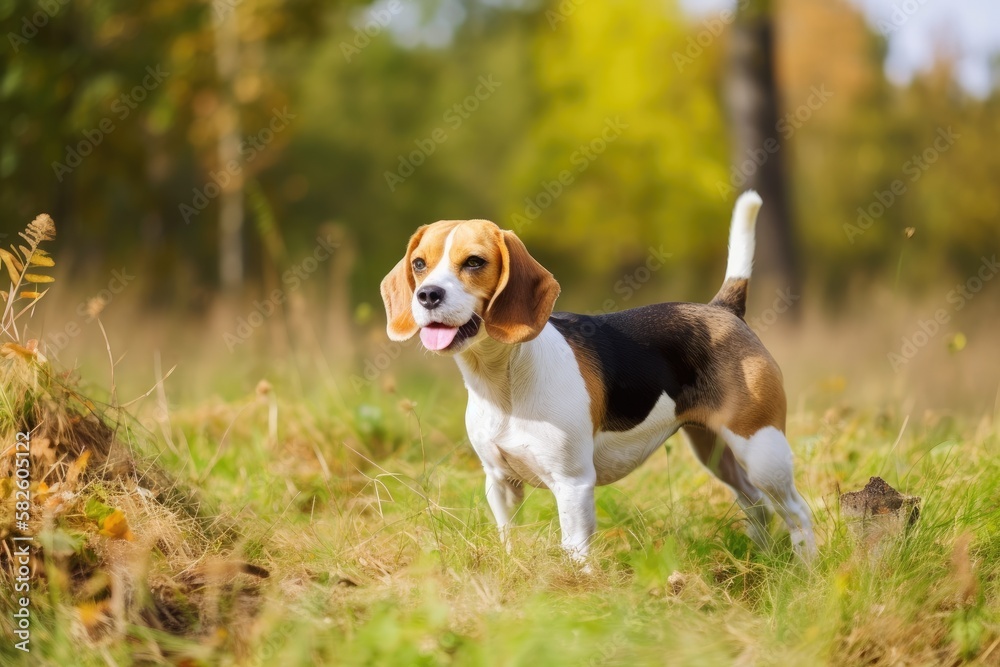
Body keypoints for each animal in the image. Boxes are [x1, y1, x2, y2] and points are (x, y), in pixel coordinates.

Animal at [378, 192, 816, 560]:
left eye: (474, 262)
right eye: (419, 264)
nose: (427, 295)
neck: (503, 380)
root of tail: (722, 309)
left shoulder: (572, 485)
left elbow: (575, 552)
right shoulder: (499, 482)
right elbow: (509, 537)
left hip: (762, 449)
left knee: (798, 511)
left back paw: (804, 571)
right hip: (716, 450)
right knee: (756, 505)